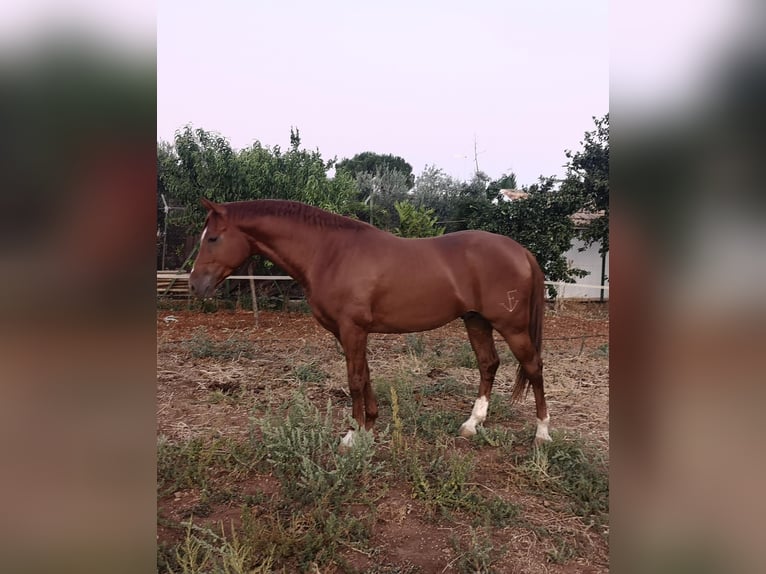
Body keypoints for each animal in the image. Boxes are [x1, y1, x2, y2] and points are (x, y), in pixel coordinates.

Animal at [190, 200, 552, 448]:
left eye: (214, 238)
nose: (195, 284)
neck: (330, 253)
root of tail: (521, 252)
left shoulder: (352, 329)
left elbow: (354, 380)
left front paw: (353, 436)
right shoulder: (349, 332)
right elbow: (364, 376)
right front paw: (369, 426)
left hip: (512, 327)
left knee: (533, 367)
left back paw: (542, 434)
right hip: (476, 321)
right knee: (488, 364)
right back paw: (471, 425)